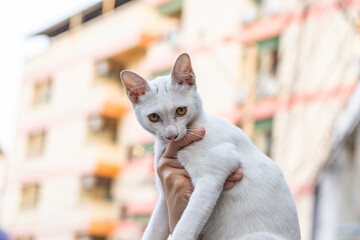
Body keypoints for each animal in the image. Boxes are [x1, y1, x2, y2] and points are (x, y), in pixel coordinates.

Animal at [121, 53, 300, 239]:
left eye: (181, 111)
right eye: (154, 117)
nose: (171, 135)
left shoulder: (210, 178)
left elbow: (184, 227)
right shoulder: (165, 196)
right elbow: (152, 230)